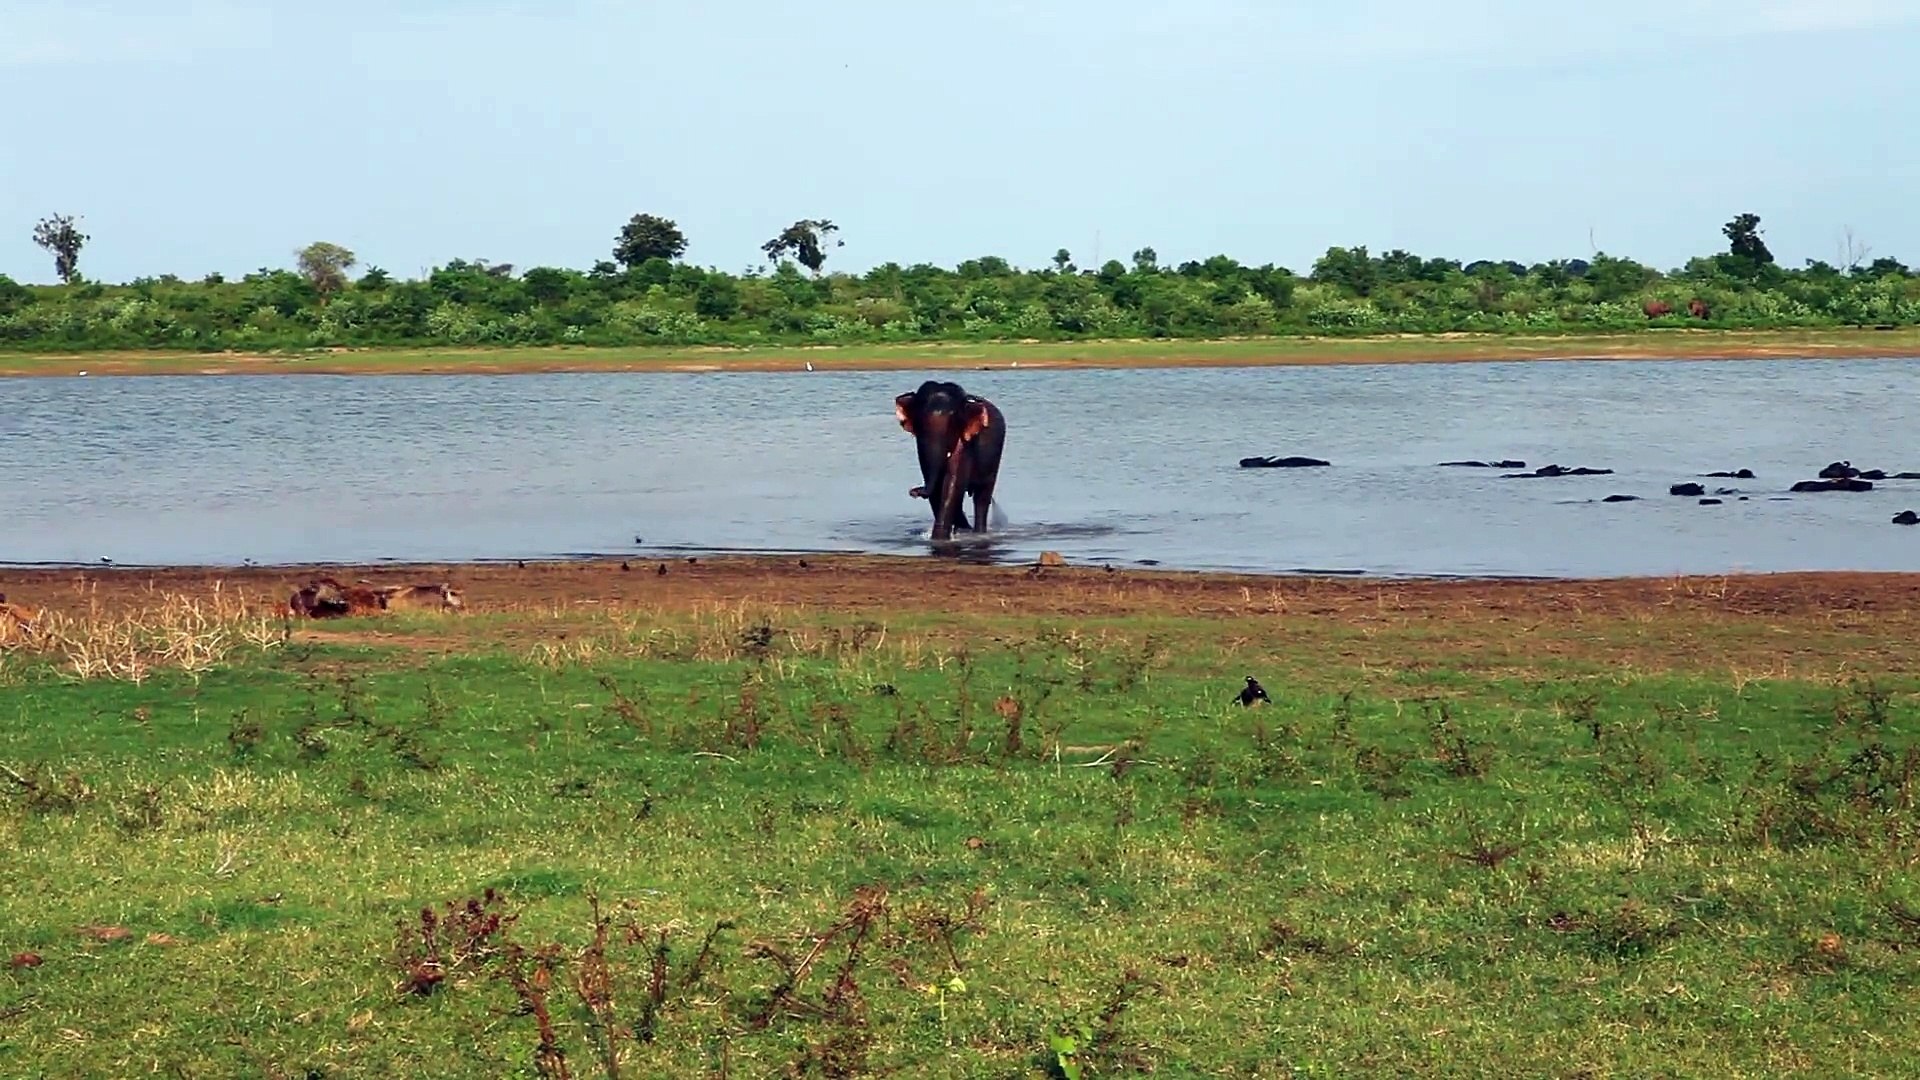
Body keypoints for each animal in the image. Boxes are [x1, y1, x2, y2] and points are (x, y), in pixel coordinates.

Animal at [894, 380, 1013, 545]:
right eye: (918, 417)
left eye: (954, 418)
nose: (914, 491)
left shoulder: (965, 441)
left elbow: (953, 482)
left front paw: (940, 541)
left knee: (982, 498)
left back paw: (977, 532)